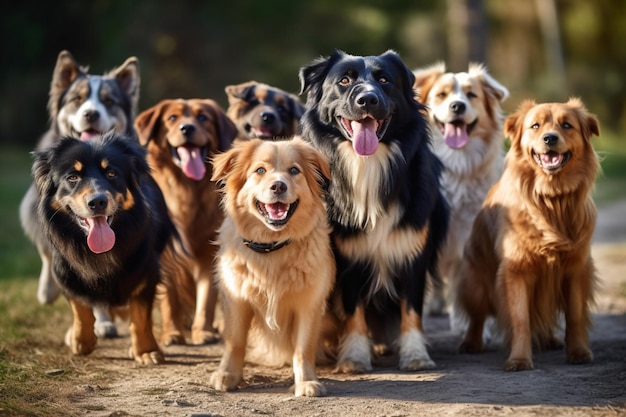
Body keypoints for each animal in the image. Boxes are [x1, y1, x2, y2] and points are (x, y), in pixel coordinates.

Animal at [30, 134, 172, 364]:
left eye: (112, 173)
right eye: (73, 177)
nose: (97, 202)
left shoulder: (146, 268)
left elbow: (141, 315)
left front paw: (146, 351)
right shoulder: (65, 269)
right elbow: (80, 306)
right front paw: (82, 341)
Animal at [133, 97, 238, 344]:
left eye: (203, 118)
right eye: (172, 117)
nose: (187, 128)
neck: (187, 189)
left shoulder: (209, 255)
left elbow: (206, 299)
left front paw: (204, 332)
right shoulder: (166, 256)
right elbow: (170, 301)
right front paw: (172, 333)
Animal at [208, 137, 336, 396]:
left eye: (294, 171)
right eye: (260, 170)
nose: (278, 186)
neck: (272, 247)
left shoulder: (309, 302)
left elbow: (303, 348)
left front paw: (306, 381)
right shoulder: (236, 298)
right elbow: (235, 341)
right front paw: (227, 374)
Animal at [412, 61, 510, 332]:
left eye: (471, 95)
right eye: (442, 95)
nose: (458, 106)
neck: (455, 164)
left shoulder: (465, 236)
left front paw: (467, 324)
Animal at [456, 98, 596, 370]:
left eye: (567, 125)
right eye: (535, 126)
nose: (550, 138)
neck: (551, 200)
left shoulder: (576, 268)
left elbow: (574, 316)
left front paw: (579, 352)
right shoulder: (516, 270)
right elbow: (520, 319)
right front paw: (519, 359)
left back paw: (550, 339)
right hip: (474, 284)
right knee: (477, 317)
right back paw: (471, 342)